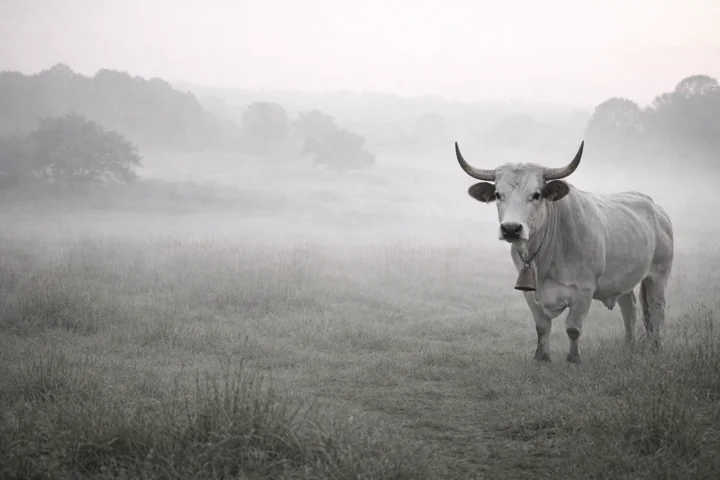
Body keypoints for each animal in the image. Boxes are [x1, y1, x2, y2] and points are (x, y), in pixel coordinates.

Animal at [454, 141, 674, 363]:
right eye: (499, 194)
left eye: (536, 195)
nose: (511, 228)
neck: (545, 258)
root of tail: (654, 207)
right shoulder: (529, 294)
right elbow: (542, 327)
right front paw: (541, 357)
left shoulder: (583, 291)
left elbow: (573, 328)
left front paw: (573, 359)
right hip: (623, 282)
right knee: (629, 310)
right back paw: (629, 347)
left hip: (658, 275)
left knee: (657, 309)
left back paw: (656, 347)